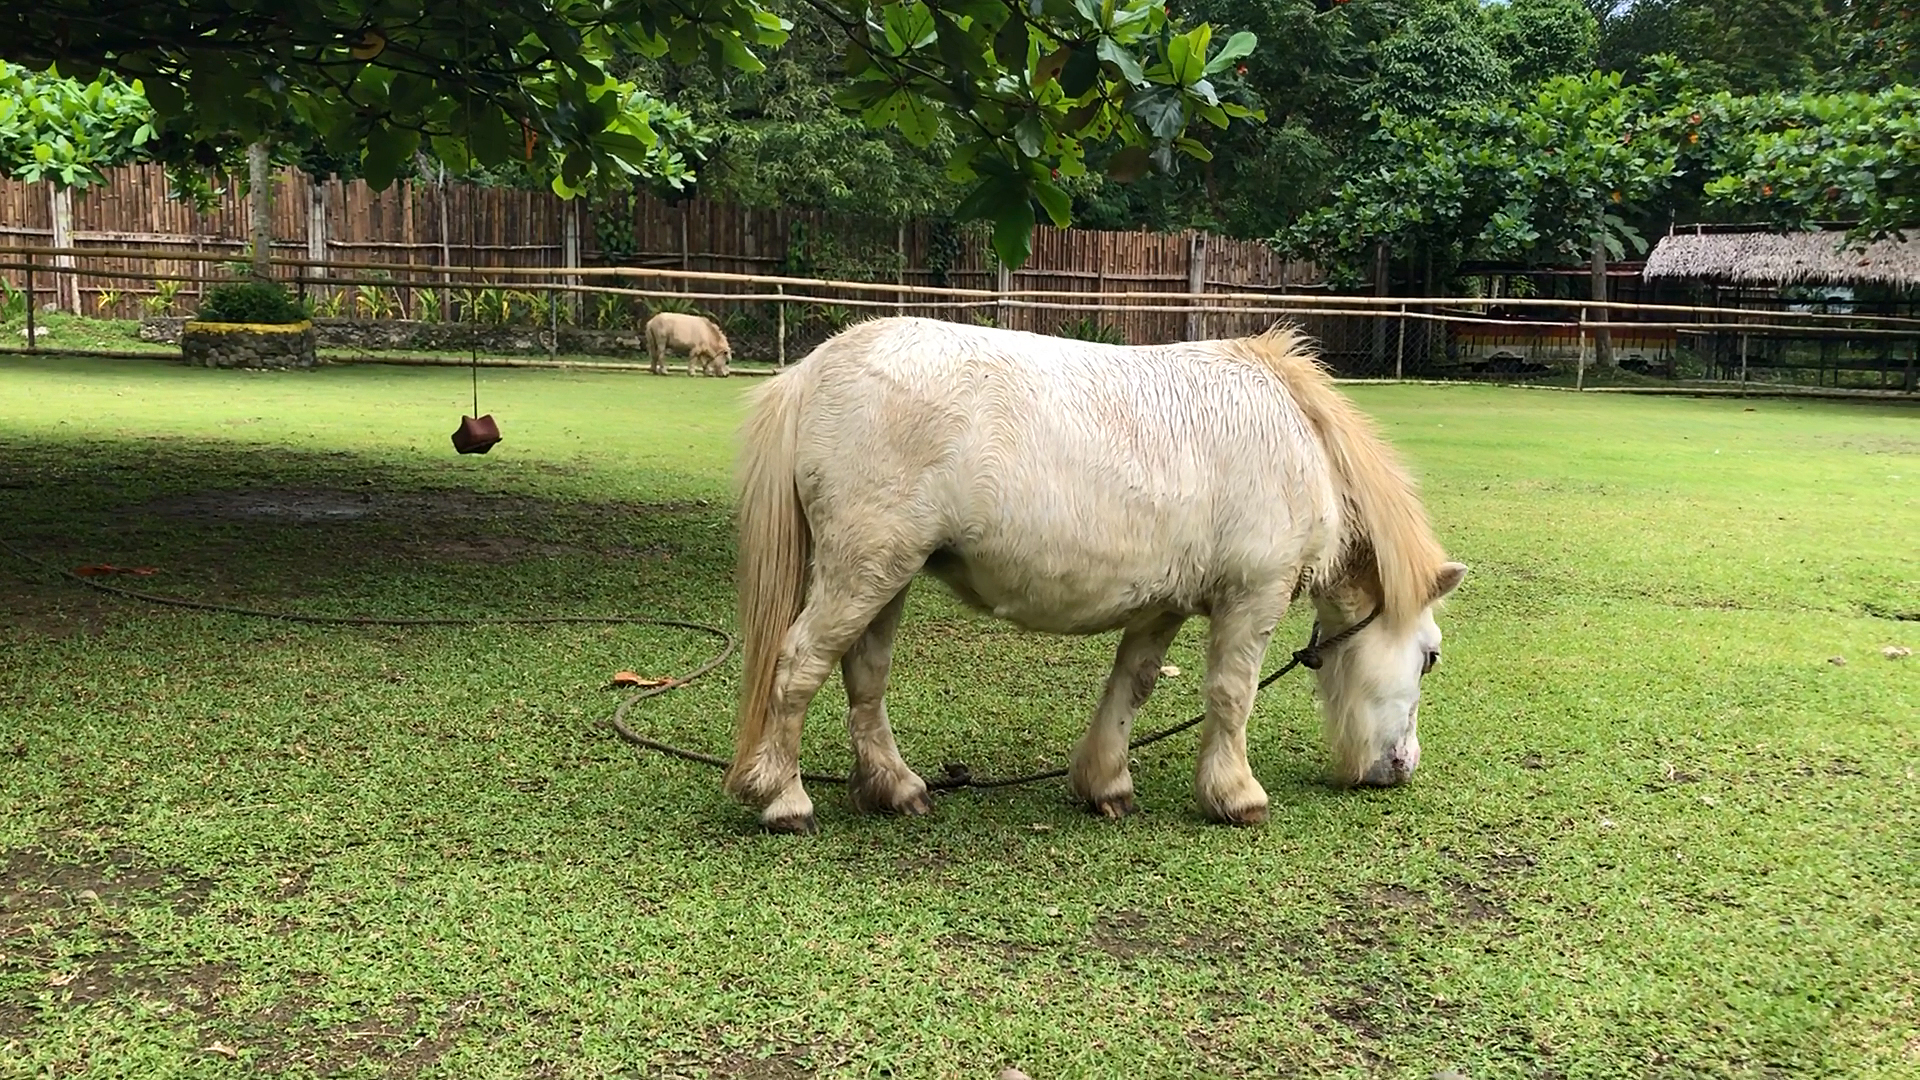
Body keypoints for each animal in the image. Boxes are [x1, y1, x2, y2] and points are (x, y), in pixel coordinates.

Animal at [725, 313, 1459, 834]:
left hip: (887, 575)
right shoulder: (1254, 596)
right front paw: (1234, 794)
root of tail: (815, 368)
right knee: (799, 666)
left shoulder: (1164, 603)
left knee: (865, 676)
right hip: (864, 569)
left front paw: (1104, 782)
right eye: (1429, 658)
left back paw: (894, 786)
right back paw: (784, 798)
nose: (1403, 767)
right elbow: (1232, 694)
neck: (1296, 437)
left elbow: (1131, 685)